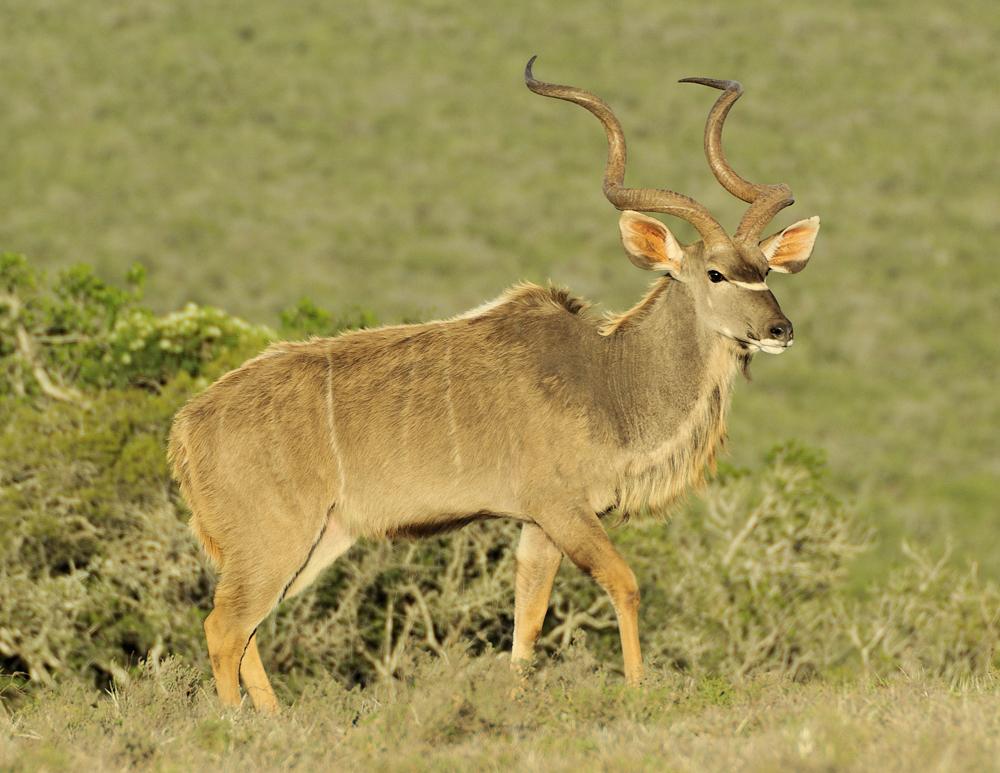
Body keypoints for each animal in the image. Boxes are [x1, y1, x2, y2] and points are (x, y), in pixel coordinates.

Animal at [166, 58, 820, 712]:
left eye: (765, 270)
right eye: (715, 273)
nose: (780, 330)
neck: (607, 377)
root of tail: (188, 428)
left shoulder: (537, 525)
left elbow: (526, 623)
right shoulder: (563, 508)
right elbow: (625, 584)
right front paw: (638, 692)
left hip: (317, 539)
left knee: (247, 628)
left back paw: (273, 720)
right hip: (278, 536)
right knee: (224, 627)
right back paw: (234, 724)